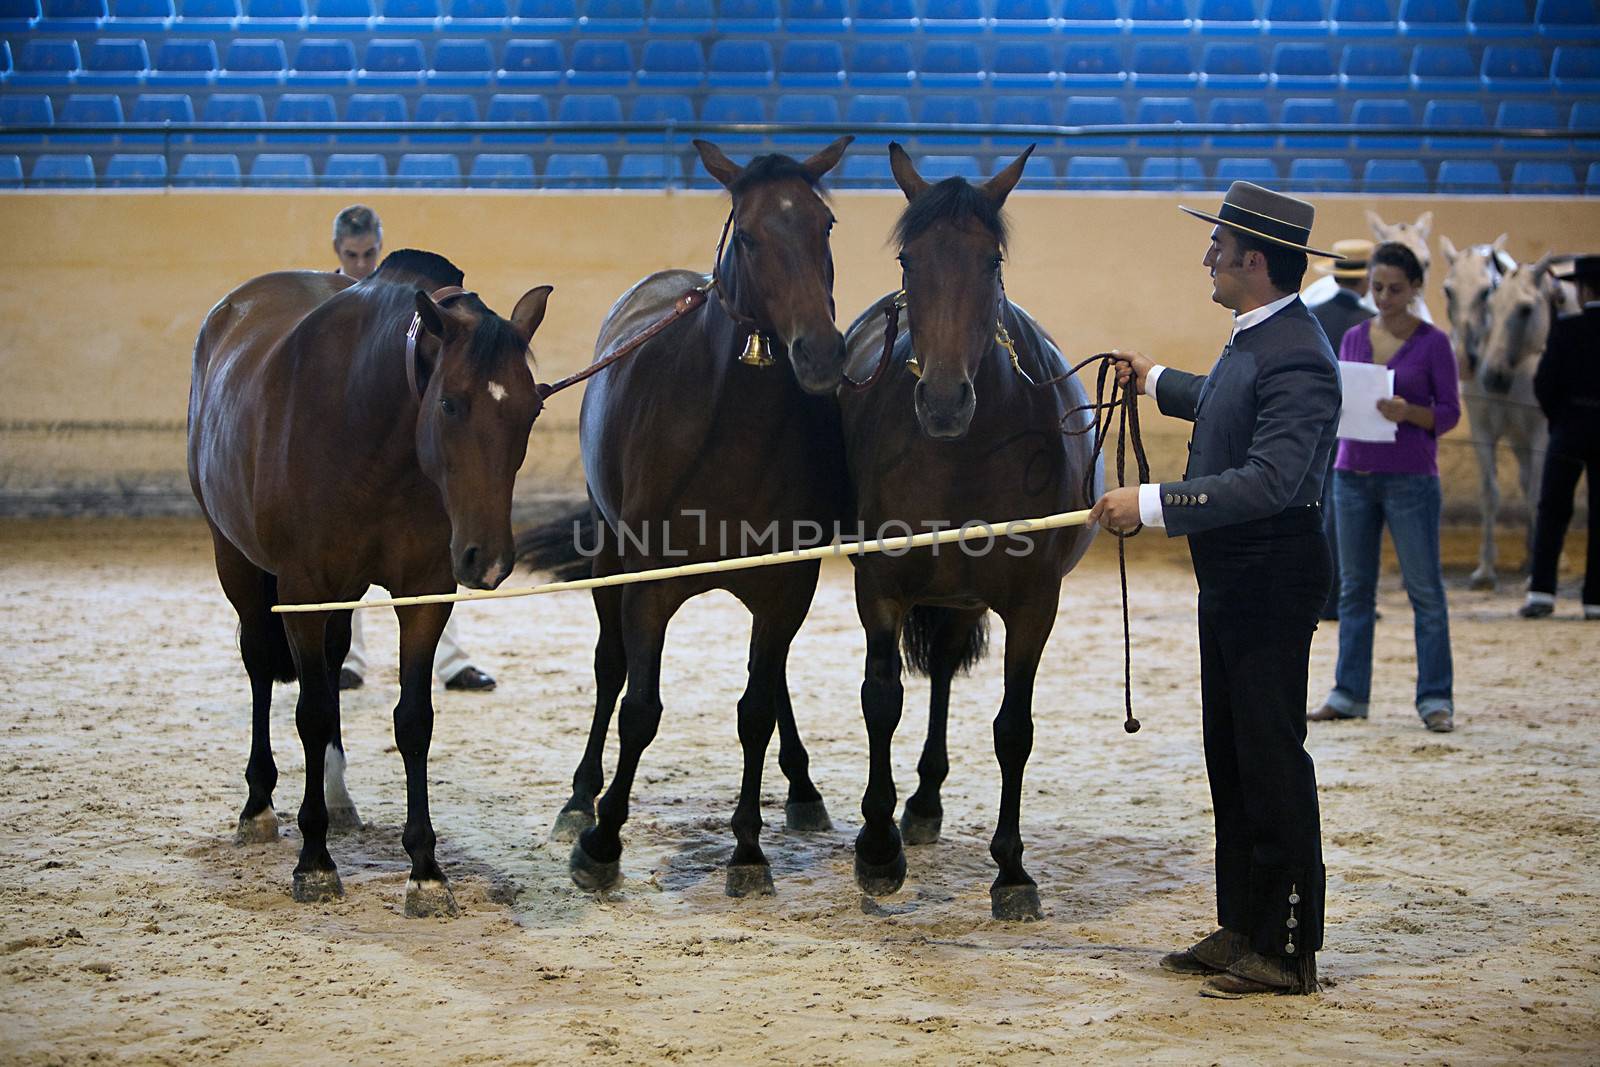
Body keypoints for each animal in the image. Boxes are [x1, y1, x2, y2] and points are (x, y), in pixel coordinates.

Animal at [190, 251, 553, 921]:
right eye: (450, 404)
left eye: (532, 409)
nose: (487, 560)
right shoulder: (303, 591)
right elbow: (309, 714)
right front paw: (314, 862)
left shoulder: (424, 594)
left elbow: (413, 720)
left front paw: (426, 871)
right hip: (238, 563)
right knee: (260, 668)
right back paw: (258, 809)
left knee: (332, 666)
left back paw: (336, 801)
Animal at [521, 137, 851, 895]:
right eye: (751, 235)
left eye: (824, 225)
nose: (820, 352)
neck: (729, 431)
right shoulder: (649, 583)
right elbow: (639, 708)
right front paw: (602, 842)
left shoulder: (787, 584)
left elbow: (756, 710)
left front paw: (749, 851)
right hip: (610, 551)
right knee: (609, 668)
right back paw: (579, 800)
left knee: (773, 683)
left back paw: (803, 790)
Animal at [838, 146, 1100, 921]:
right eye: (909, 257)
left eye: (990, 260)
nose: (945, 400)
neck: (960, 453)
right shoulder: (881, 587)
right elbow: (881, 701)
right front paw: (877, 850)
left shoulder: (1034, 602)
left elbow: (1014, 728)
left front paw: (1011, 871)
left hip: (963, 598)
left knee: (949, 673)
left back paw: (926, 802)